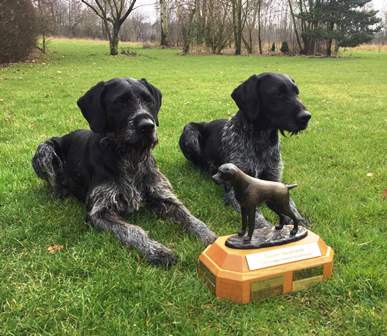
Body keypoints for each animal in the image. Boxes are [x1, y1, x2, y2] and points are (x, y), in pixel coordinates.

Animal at [32, 77, 218, 268]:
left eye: (148, 100)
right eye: (119, 102)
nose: (147, 126)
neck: (130, 158)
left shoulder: (163, 196)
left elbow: (191, 218)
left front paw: (211, 238)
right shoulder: (99, 212)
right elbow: (133, 230)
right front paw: (157, 251)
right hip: (44, 149)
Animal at [180, 72, 312, 227]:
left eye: (297, 92)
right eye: (277, 93)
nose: (307, 116)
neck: (261, 140)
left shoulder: (274, 178)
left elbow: (290, 204)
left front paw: (300, 222)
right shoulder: (236, 188)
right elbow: (256, 216)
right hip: (190, 132)